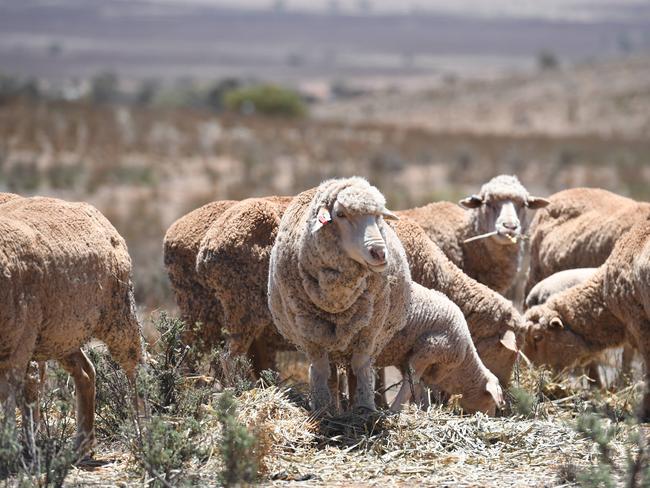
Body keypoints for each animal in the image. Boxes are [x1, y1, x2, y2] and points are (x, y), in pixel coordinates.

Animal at [0, 194, 143, 454]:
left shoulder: (17, 347)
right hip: (62, 334)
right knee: (86, 372)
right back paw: (82, 443)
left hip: (118, 311)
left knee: (136, 365)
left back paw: (145, 431)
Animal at [266, 175, 408, 412]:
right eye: (340, 214)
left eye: (378, 216)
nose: (379, 253)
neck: (337, 301)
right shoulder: (309, 332)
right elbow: (321, 369)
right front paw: (322, 406)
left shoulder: (369, 329)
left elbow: (360, 366)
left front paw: (364, 406)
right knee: (331, 374)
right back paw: (333, 406)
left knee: (351, 370)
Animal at [372, 282, 504, 416]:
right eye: (491, 401)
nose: (491, 417)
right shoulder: (427, 350)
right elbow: (411, 383)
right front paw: (394, 410)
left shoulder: (409, 359)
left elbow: (419, 386)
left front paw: (422, 408)